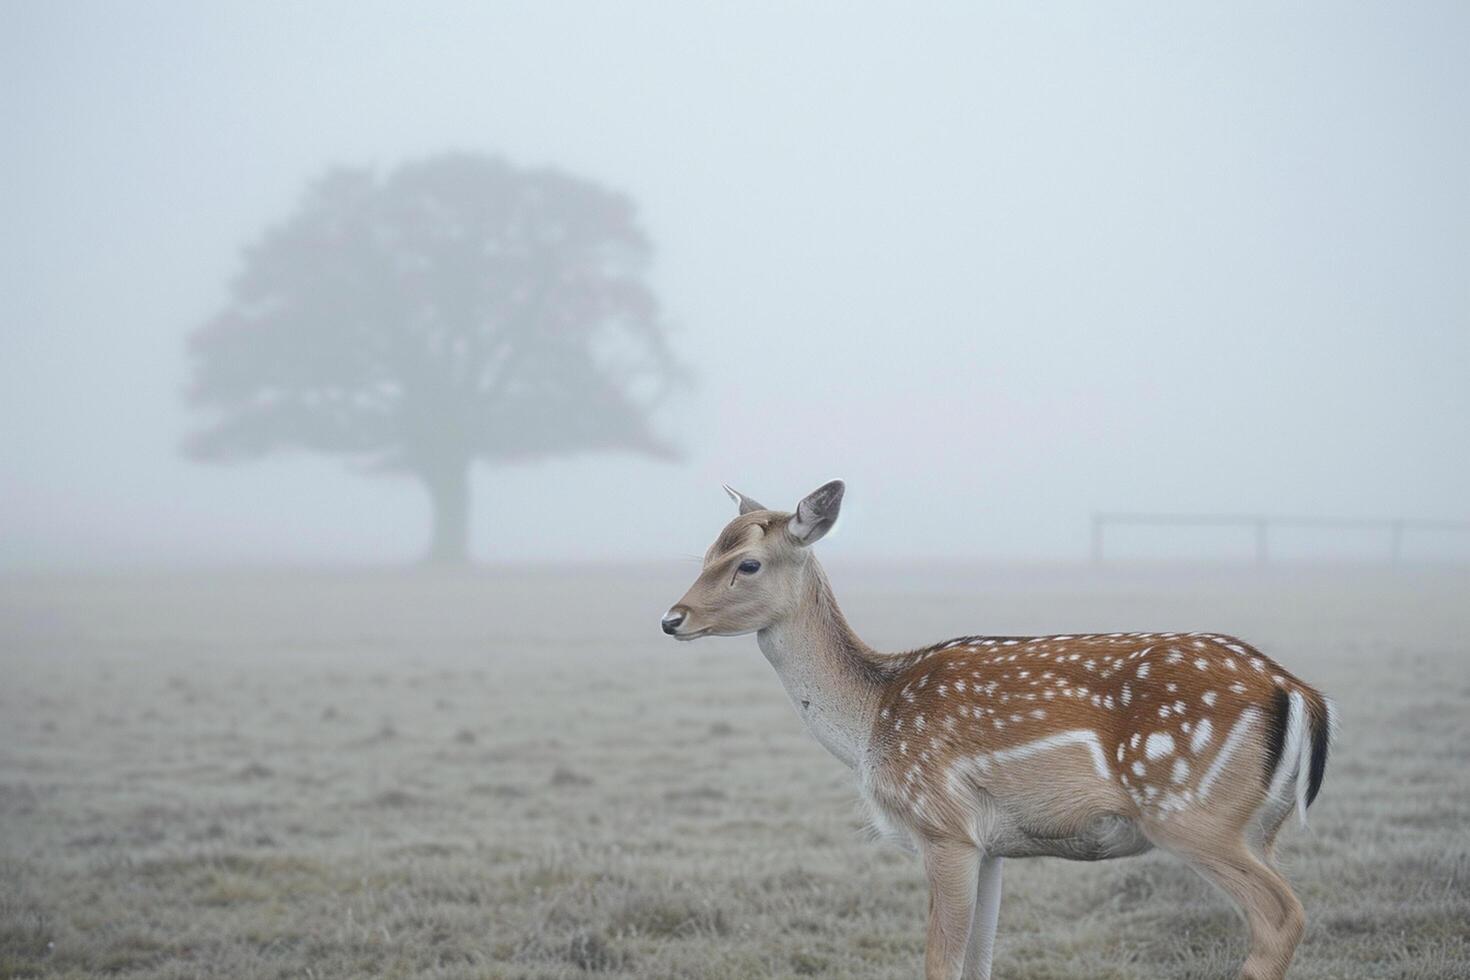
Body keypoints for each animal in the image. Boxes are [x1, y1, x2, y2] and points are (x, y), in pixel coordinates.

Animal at [661, 481, 1340, 980]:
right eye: (705, 555)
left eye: (747, 564)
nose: (672, 618)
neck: (872, 717)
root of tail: (1298, 692)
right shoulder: (991, 846)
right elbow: (979, 964)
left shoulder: (943, 827)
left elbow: (940, 965)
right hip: (1260, 825)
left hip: (1191, 811)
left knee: (1282, 916)